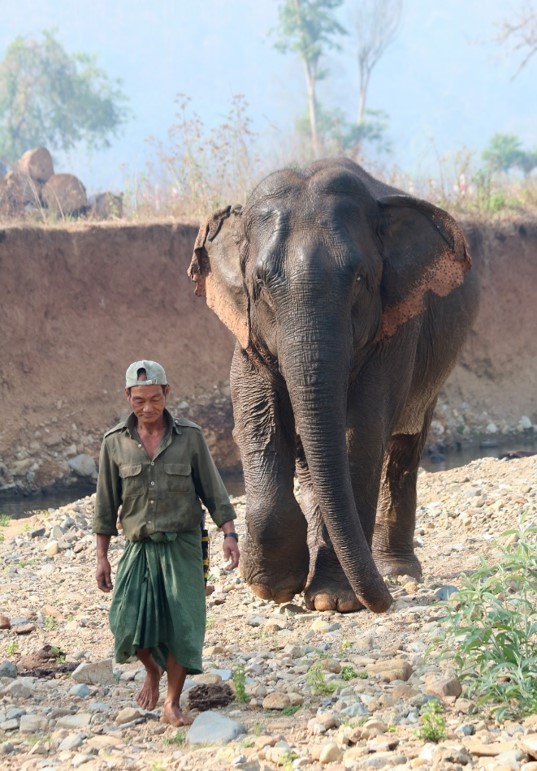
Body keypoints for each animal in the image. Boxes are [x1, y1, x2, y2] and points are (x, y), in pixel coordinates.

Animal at [187, 158, 478, 616]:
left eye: (360, 279)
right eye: (260, 284)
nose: (386, 603)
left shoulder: (397, 326)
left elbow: (362, 432)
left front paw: (333, 600)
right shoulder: (246, 330)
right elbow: (257, 416)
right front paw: (272, 587)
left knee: (405, 447)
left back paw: (396, 570)